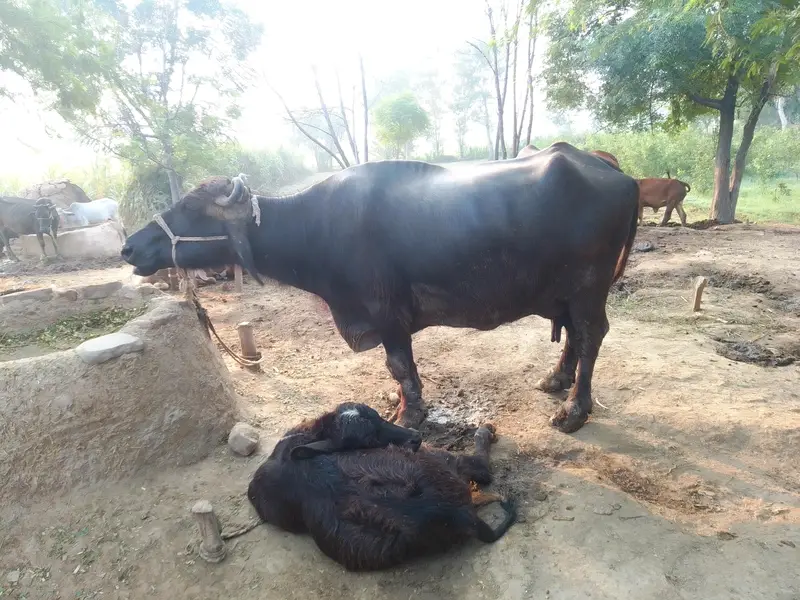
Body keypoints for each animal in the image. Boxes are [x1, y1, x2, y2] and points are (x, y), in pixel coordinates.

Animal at [121, 142, 639, 433]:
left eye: (191, 208)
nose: (130, 246)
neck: (318, 228)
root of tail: (621, 175)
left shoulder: (386, 314)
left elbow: (399, 366)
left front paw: (409, 415)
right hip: (565, 290)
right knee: (572, 333)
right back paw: (556, 379)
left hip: (589, 287)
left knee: (590, 335)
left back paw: (574, 410)